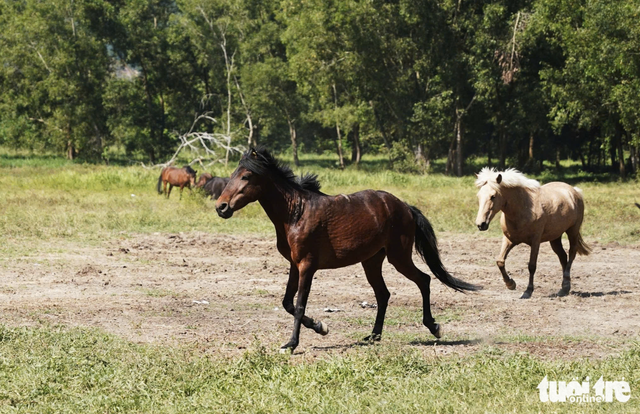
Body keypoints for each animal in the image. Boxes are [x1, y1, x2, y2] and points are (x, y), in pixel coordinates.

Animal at [215, 147, 480, 352]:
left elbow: (299, 305)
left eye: (247, 176)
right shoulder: (294, 265)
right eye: (233, 174)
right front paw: (321, 327)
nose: (221, 207)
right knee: (383, 294)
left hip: (398, 257)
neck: (295, 212)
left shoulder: (307, 266)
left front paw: (291, 344)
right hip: (372, 261)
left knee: (423, 280)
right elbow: (287, 303)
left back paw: (434, 327)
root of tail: (405, 207)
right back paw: (374, 335)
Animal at [474, 167, 591, 299]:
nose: (481, 224)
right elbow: (500, 261)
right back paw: (564, 289)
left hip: (572, 231)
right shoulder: (509, 239)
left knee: (571, 253)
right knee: (562, 256)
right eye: (479, 196)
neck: (523, 210)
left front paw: (528, 291)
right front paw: (510, 284)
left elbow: (531, 266)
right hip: (555, 238)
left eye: (493, 196)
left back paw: (565, 285)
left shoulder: (535, 241)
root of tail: (574, 191)